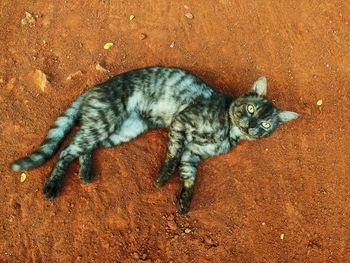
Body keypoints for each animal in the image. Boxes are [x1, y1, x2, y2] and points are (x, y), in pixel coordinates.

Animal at [10, 66, 298, 214]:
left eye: (266, 124)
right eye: (250, 109)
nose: (251, 126)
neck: (229, 132)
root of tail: (94, 88)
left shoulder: (192, 156)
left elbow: (189, 178)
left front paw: (184, 202)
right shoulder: (182, 123)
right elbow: (171, 157)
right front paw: (161, 179)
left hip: (119, 131)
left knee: (83, 146)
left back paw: (85, 172)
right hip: (106, 121)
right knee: (68, 148)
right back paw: (52, 186)